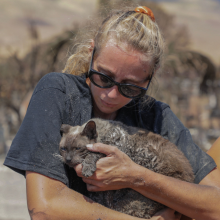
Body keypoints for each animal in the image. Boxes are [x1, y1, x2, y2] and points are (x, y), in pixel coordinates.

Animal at [58, 118, 194, 218]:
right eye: (63, 149)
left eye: (78, 148)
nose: (68, 159)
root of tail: (190, 178)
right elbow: (100, 201)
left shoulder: (117, 148)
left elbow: (94, 153)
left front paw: (87, 168)